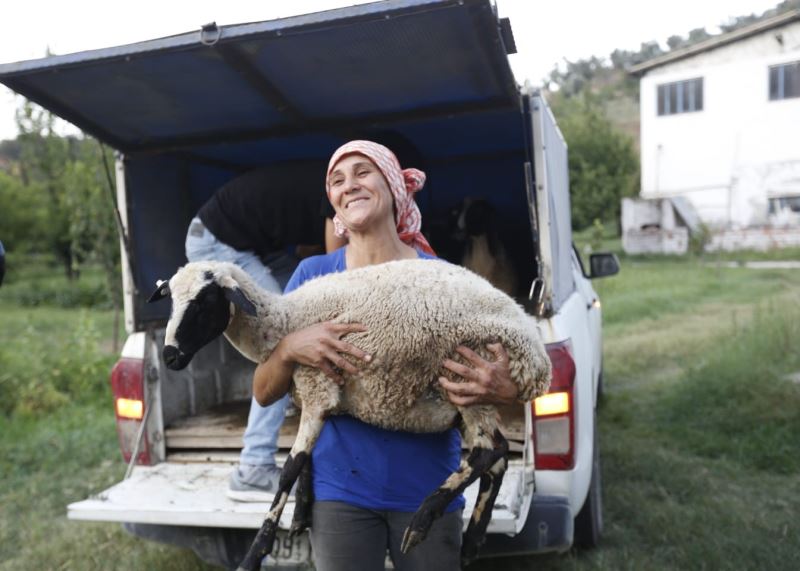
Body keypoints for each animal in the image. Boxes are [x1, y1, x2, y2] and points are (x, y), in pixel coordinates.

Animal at [148, 260, 552, 571]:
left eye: (204, 302)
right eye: (171, 302)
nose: (169, 356)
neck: (285, 322)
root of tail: (537, 357)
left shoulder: (317, 384)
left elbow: (290, 469)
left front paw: (255, 554)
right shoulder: (315, 395)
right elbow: (308, 460)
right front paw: (301, 515)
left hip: (468, 376)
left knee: (489, 451)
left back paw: (421, 521)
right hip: (467, 400)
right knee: (497, 458)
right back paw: (471, 542)